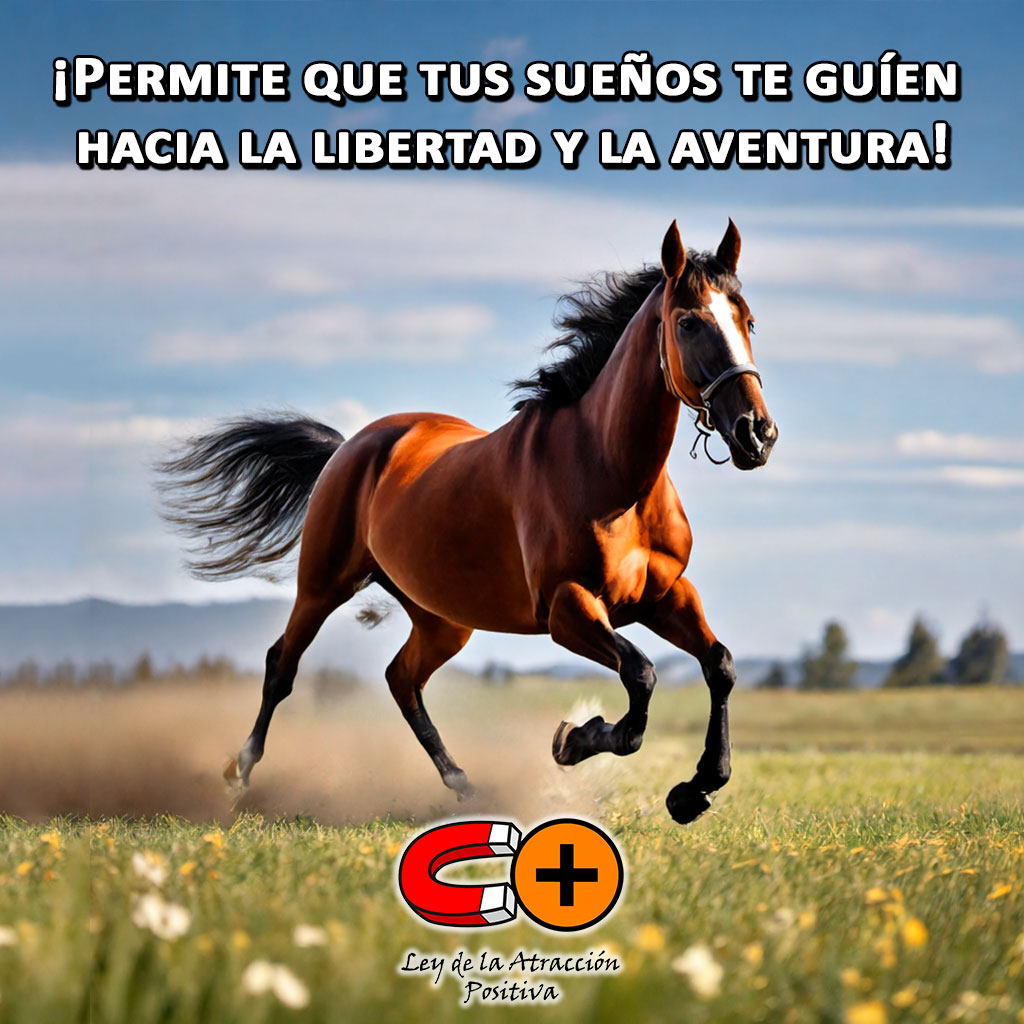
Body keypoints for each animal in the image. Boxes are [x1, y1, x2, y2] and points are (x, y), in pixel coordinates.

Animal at [157, 220, 777, 824]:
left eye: (747, 320)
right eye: (688, 323)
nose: (756, 434)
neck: (608, 473)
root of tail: (350, 445)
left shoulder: (664, 595)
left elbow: (719, 665)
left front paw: (695, 789)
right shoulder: (567, 607)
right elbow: (641, 675)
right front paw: (575, 740)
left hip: (441, 618)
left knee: (401, 679)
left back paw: (465, 786)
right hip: (323, 586)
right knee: (281, 667)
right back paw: (239, 775)